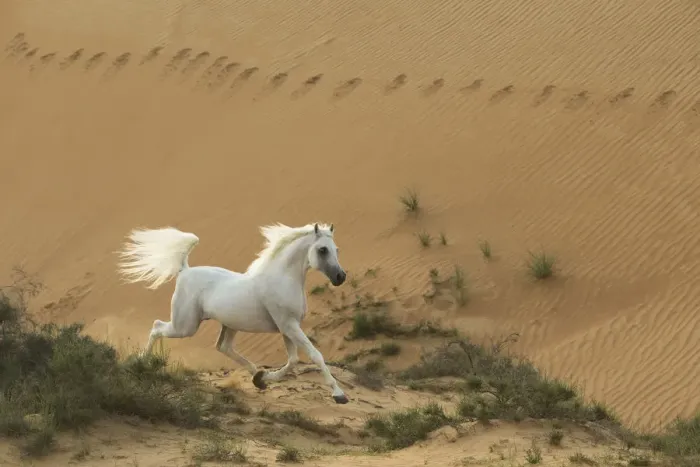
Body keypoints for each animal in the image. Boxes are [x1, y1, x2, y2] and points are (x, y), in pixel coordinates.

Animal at [116, 222, 349, 404]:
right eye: (322, 250)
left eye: (337, 249)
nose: (340, 277)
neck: (283, 279)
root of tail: (185, 270)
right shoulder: (289, 325)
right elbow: (315, 355)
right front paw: (339, 395)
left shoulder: (287, 327)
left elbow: (292, 360)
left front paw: (264, 379)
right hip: (185, 326)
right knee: (156, 327)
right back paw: (140, 362)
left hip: (229, 325)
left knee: (223, 347)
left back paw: (257, 375)